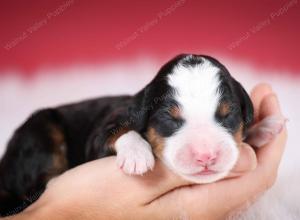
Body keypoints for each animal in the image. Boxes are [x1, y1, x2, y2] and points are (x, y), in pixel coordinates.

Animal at [0, 54, 286, 216]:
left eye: (227, 115)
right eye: (170, 118)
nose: (206, 156)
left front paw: (263, 127)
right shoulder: (101, 133)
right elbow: (119, 131)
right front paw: (137, 155)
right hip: (39, 131)